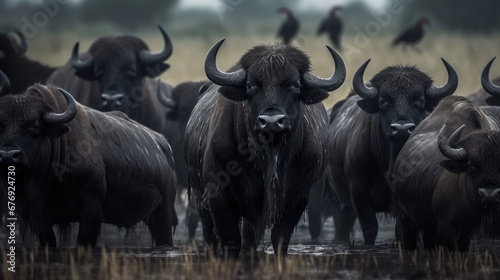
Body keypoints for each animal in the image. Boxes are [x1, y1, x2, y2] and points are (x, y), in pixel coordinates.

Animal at [0, 72, 178, 247]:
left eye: (35, 125)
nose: (9, 155)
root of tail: (164, 145)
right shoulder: (36, 219)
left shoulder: (91, 209)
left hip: (163, 214)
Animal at [186, 40, 346, 258]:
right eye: (251, 85)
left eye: (295, 85)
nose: (271, 122)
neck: (267, 158)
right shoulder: (218, 195)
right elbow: (230, 239)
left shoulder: (297, 197)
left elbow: (280, 237)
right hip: (199, 195)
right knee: (211, 234)